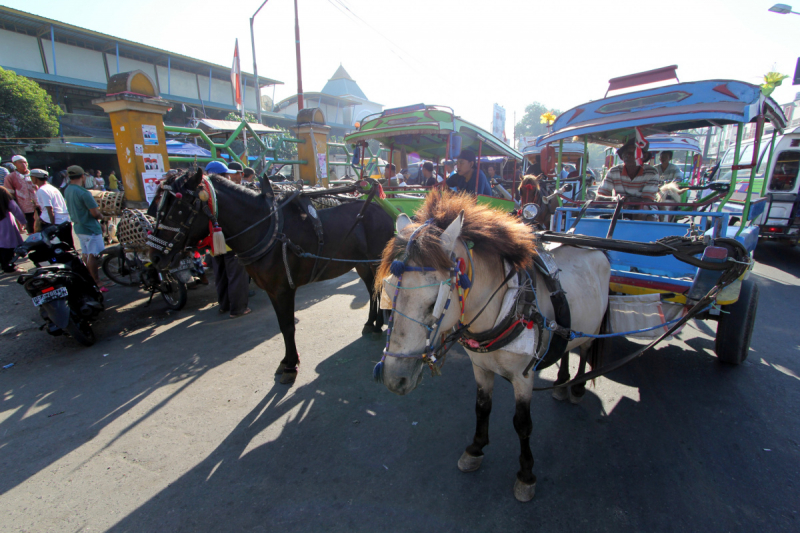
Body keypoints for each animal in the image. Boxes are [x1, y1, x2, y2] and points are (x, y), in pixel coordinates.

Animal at [149, 170, 394, 382]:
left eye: (177, 209)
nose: (155, 257)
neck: (267, 229)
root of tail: (381, 211)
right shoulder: (271, 290)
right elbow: (281, 325)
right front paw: (286, 361)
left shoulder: (283, 289)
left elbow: (288, 326)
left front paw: (291, 366)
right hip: (362, 265)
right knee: (372, 290)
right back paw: (372, 323)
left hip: (375, 262)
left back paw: (380, 325)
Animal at [372, 193, 608, 500]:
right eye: (389, 291)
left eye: (434, 301)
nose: (394, 378)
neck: (502, 306)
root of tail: (594, 245)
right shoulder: (480, 366)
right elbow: (482, 408)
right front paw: (475, 449)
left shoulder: (523, 377)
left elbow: (522, 424)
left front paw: (526, 474)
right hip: (567, 326)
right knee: (566, 342)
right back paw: (561, 382)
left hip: (593, 326)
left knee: (586, 348)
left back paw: (577, 386)